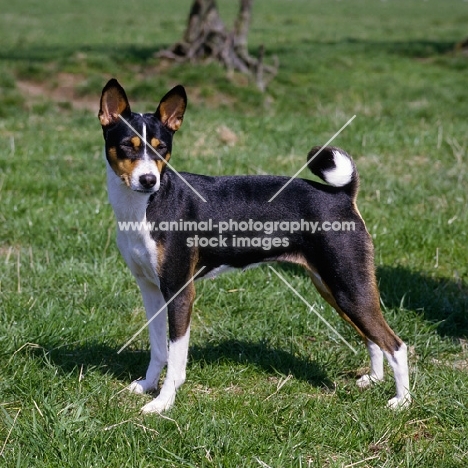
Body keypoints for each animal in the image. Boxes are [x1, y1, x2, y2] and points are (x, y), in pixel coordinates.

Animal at [98, 79, 410, 414]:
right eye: (128, 145)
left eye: (162, 147)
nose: (148, 180)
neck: (145, 207)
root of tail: (343, 195)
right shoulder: (151, 289)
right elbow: (158, 349)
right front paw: (147, 386)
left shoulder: (180, 291)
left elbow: (176, 360)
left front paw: (163, 403)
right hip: (335, 287)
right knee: (371, 337)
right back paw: (374, 380)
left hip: (349, 286)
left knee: (396, 345)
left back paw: (402, 401)